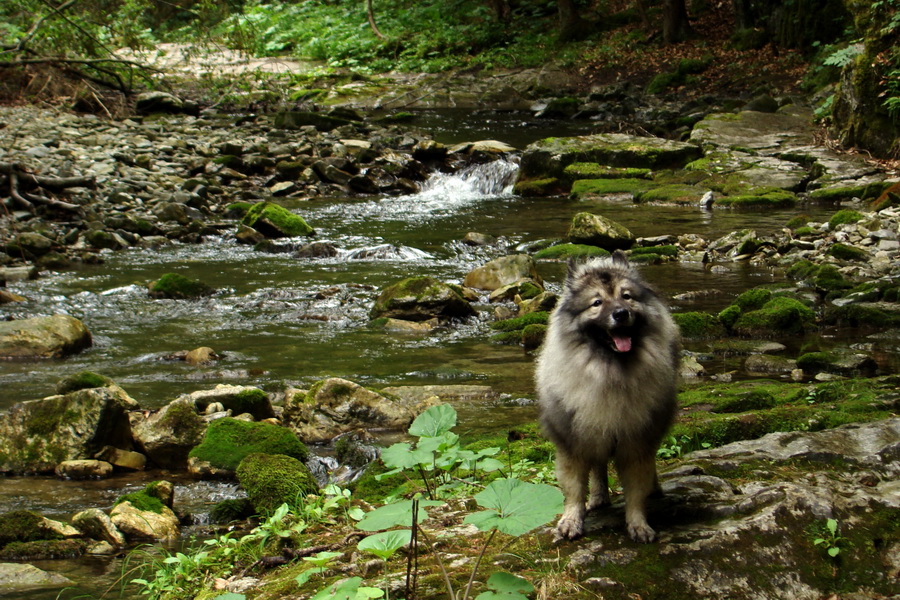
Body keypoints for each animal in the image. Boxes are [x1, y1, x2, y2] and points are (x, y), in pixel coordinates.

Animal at [536, 251, 676, 540]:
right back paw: (599, 497)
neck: (610, 371)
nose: (621, 314)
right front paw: (571, 520)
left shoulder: (636, 442)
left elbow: (636, 489)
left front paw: (638, 524)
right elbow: (574, 488)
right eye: (597, 302)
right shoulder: (573, 440)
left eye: (627, 296)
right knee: (598, 466)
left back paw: (654, 489)